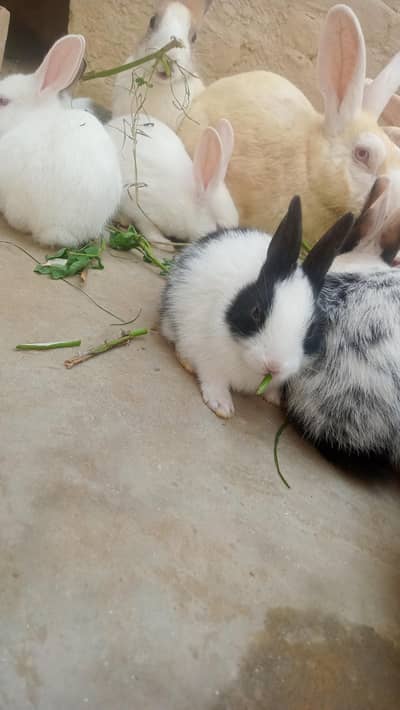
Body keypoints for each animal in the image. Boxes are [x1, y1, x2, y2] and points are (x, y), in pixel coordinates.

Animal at [160, 195, 354, 418]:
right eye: (256, 312)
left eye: (312, 329)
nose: (273, 366)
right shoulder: (208, 354)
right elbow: (214, 379)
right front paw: (221, 406)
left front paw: (274, 398)